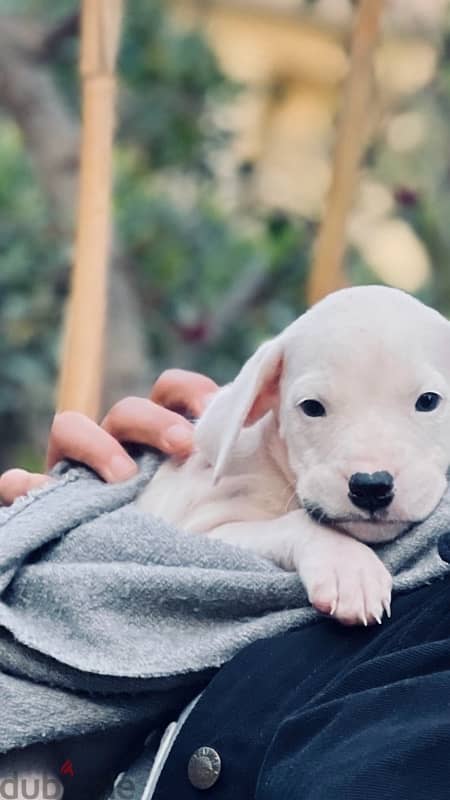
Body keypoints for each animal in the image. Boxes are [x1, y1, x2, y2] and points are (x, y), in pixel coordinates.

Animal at [138, 284, 450, 628]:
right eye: (312, 407)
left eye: (428, 401)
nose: (371, 486)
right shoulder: (203, 533)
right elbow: (296, 522)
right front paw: (348, 568)